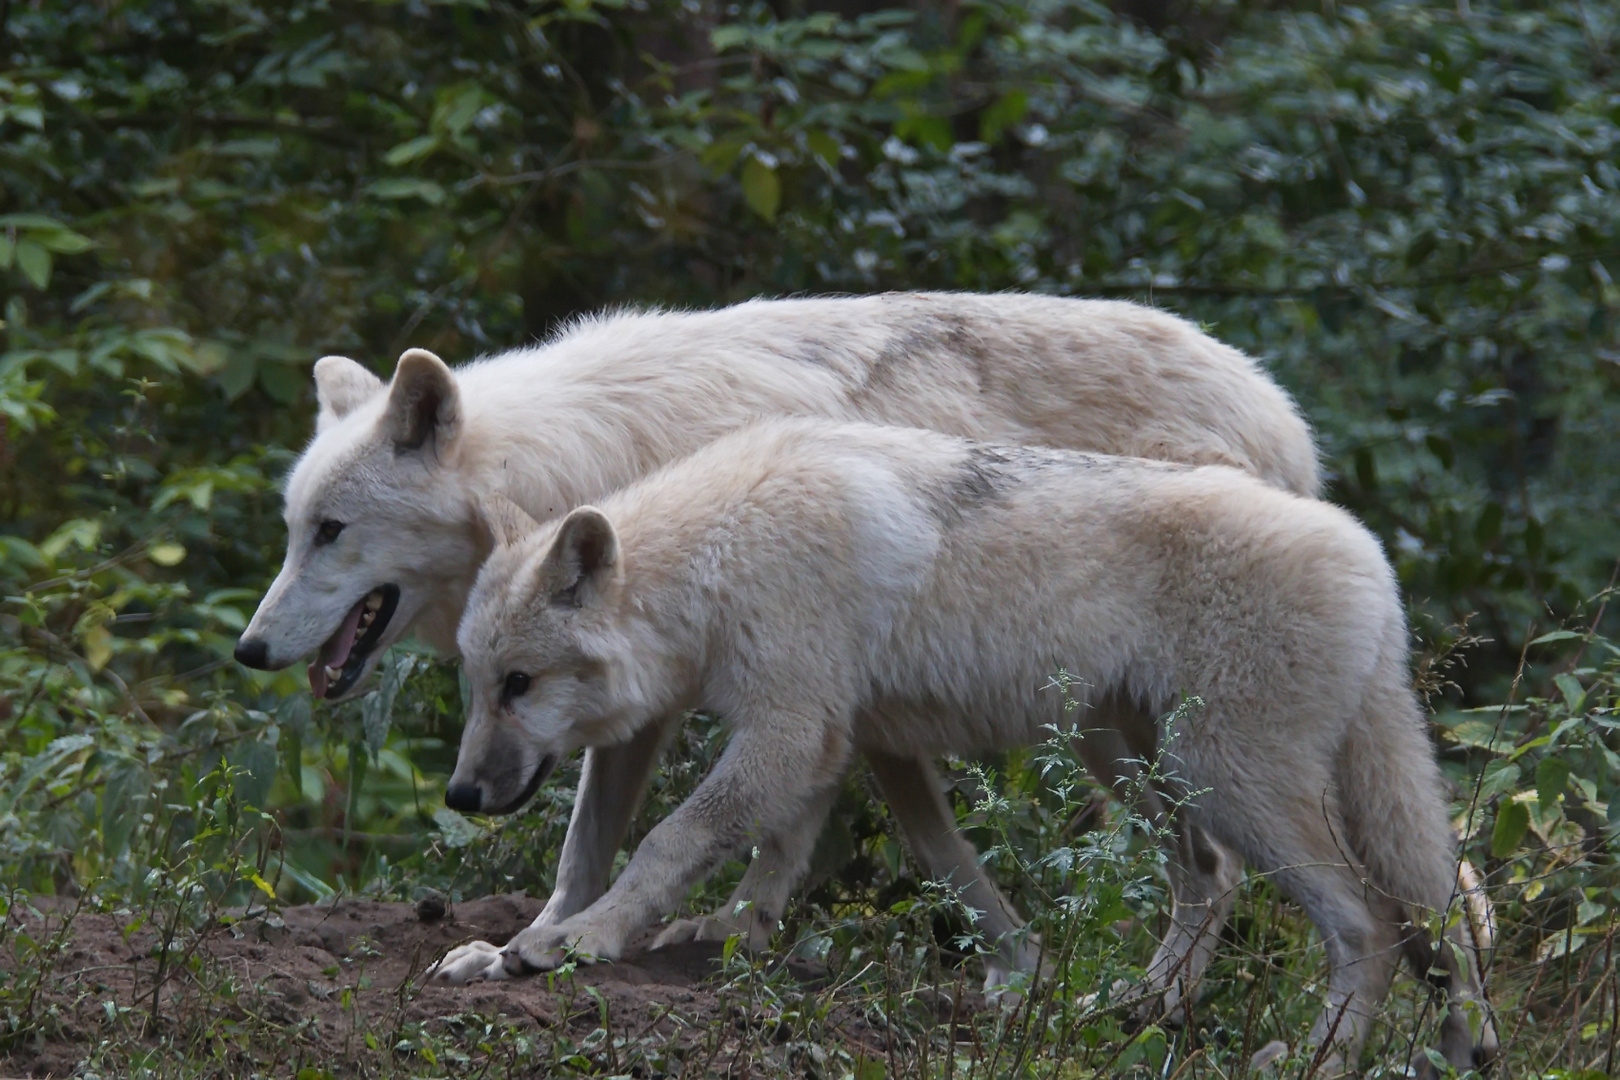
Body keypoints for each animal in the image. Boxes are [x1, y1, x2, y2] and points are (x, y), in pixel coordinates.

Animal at [234, 293, 1321, 997]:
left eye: (331, 530)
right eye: (290, 528)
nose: (248, 648)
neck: (583, 456)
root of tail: (1283, 413)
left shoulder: (727, 674)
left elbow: (675, 834)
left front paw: (578, 943)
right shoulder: (653, 694)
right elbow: (593, 848)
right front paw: (523, 945)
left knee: (1215, 868)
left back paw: (1154, 999)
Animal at [440, 420, 1490, 1075]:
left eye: (519, 684)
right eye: (475, 683)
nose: (458, 796)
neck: (718, 560)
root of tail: (1367, 553)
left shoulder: (791, 730)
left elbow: (666, 845)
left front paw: (580, 942)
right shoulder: (843, 743)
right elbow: (620, 856)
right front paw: (522, 946)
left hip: (1225, 777)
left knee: (1371, 925)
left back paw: (1313, 1059)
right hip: (1139, 763)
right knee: (1236, 883)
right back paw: (1139, 1011)